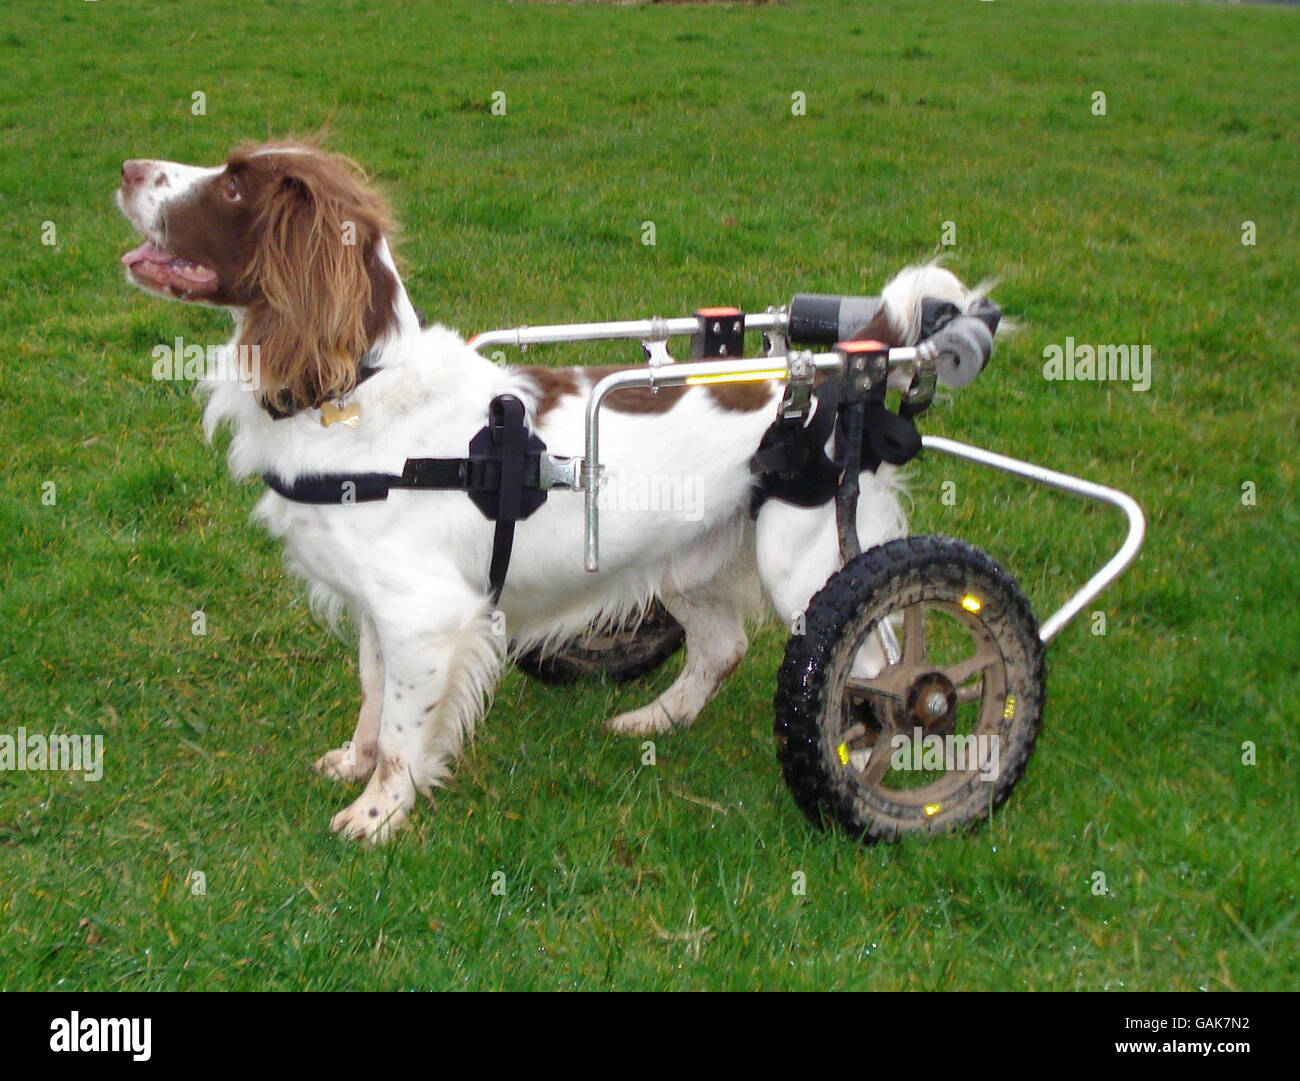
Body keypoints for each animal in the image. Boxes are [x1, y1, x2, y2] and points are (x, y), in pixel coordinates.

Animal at [119, 139, 982, 841]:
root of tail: (848, 367)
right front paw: (352, 762)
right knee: (723, 645)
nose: (126, 168)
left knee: (877, 667)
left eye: (235, 185)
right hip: (694, 556)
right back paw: (652, 718)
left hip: (814, 561)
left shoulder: (427, 615)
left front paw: (378, 812)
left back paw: (874, 760)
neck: (356, 387)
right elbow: (372, 694)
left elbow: (401, 731)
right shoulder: (378, 604)